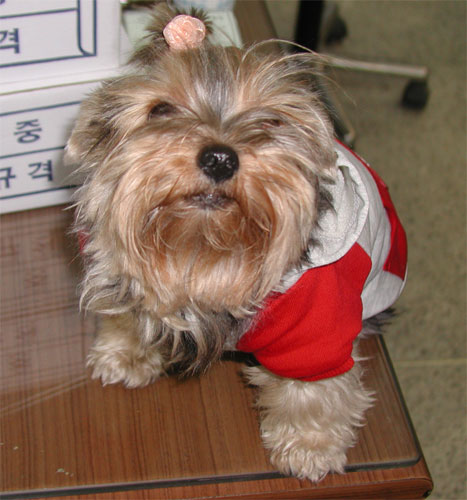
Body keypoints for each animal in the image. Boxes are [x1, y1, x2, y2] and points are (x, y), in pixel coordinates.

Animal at [65, 5, 407, 482]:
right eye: (160, 109)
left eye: (271, 120)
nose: (219, 157)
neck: (203, 254)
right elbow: (129, 314)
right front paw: (126, 353)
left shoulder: (317, 322)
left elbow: (313, 389)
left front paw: (309, 446)